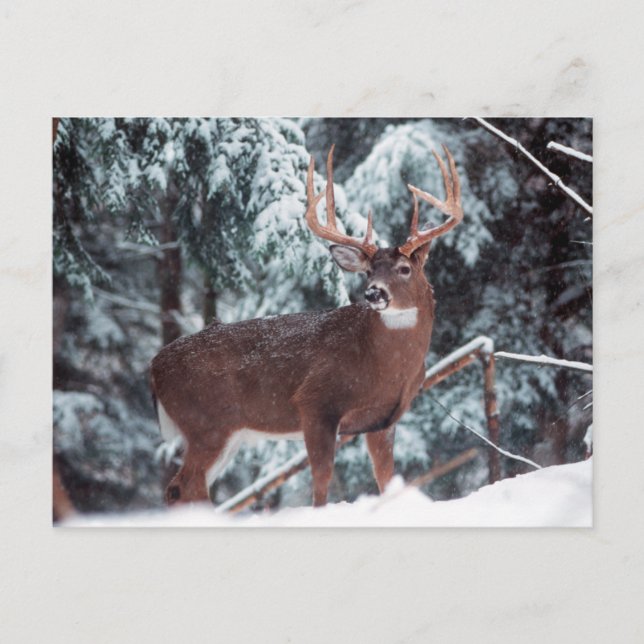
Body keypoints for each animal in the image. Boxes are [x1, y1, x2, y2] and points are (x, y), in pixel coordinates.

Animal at [150, 144, 463, 507]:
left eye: (404, 269)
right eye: (369, 271)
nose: (374, 293)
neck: (383, 364)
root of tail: (154, 367)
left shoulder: (383, 419)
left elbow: (386, 478)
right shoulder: (316, 401)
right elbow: (322, 478)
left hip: (224, 432)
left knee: (180, 488)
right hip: (206, 423)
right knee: (187, 486)